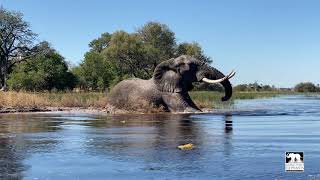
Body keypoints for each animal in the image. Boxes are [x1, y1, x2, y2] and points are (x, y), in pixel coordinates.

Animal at [107, 54, 235, 112]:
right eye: (192, 66)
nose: (222, 98)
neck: (170, 62)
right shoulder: (167, 92)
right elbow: (186, 109)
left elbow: (195, 107)